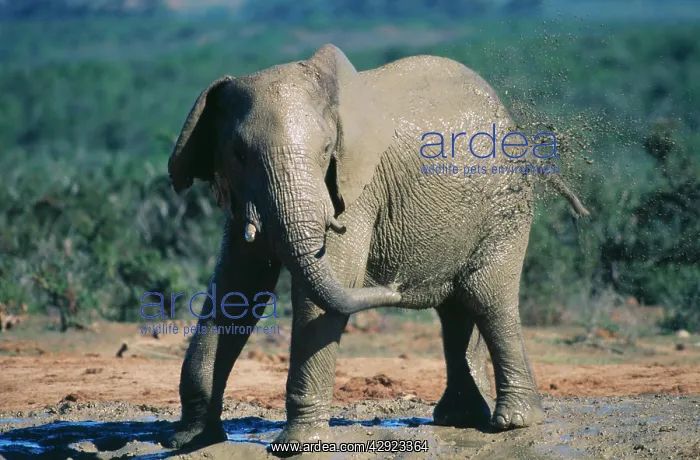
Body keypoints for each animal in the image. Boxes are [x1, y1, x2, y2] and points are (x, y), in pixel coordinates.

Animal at [165, 44, 589, 450]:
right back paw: (459, 418)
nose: (397, 285)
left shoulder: (357, 192)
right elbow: (237, 287)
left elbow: (328, 288)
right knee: (456, 307)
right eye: (239, 155)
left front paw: (297, 445)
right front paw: (189, 439)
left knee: (487, 297)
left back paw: (513, 422)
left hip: (505, 207)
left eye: (326, 151)